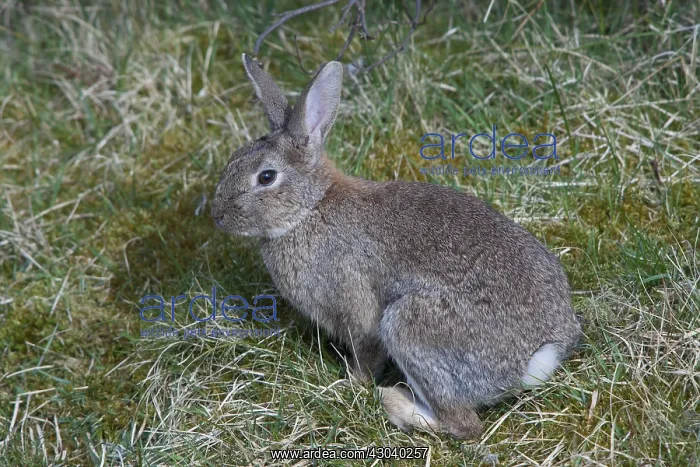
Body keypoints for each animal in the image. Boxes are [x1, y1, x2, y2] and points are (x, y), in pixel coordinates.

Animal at [211, 54, 583, 439]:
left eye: (266, 177)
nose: (217, 215)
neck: (310, 209)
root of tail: (538, 354)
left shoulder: (357, 305)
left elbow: (365, 354)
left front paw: (350, 386)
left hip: (409, 326)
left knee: (463, 424)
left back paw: (394, 402)